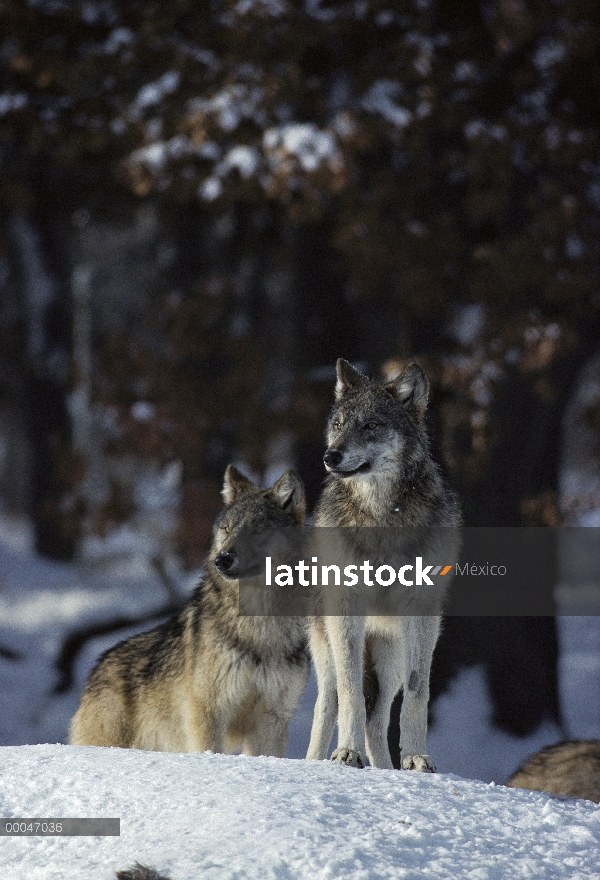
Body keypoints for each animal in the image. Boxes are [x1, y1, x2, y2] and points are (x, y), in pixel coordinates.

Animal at [70, 468, 310, 756]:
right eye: (227, 529)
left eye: (258, 529)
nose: (222, 559)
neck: (260, 625)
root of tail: (95, 671)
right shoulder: (207, 712)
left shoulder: (272, 719)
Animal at [308, 358, 462, 768]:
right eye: (339, 424)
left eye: (371, 425)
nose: (330, 456)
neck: (381, 515)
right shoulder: (346, 610)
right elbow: (349, 695)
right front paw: (346, 753)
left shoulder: (421, 613)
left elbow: (418, 693)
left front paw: (417, 758)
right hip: (326, 645)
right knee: (328, 703)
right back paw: (316, 761)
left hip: (390, 656)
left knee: (376, 721)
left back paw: (385, 767)